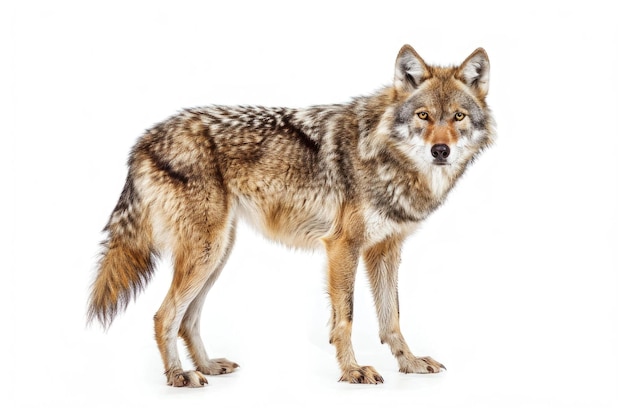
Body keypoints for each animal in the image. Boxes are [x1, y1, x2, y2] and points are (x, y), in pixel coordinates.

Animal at [88, 44, 492, 386]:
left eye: (458, 117)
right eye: (424, 116)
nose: (440, 151)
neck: (385, 155)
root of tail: (144, 139)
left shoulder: (385, 250)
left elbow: (390, 317)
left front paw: (409, 363)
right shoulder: (342, 246)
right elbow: (345, 318)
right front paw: (352, 371)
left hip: (218, 254)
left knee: (187, 319)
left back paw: (207, 367)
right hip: (206, 253)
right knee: (164, 316)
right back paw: (179, 376)